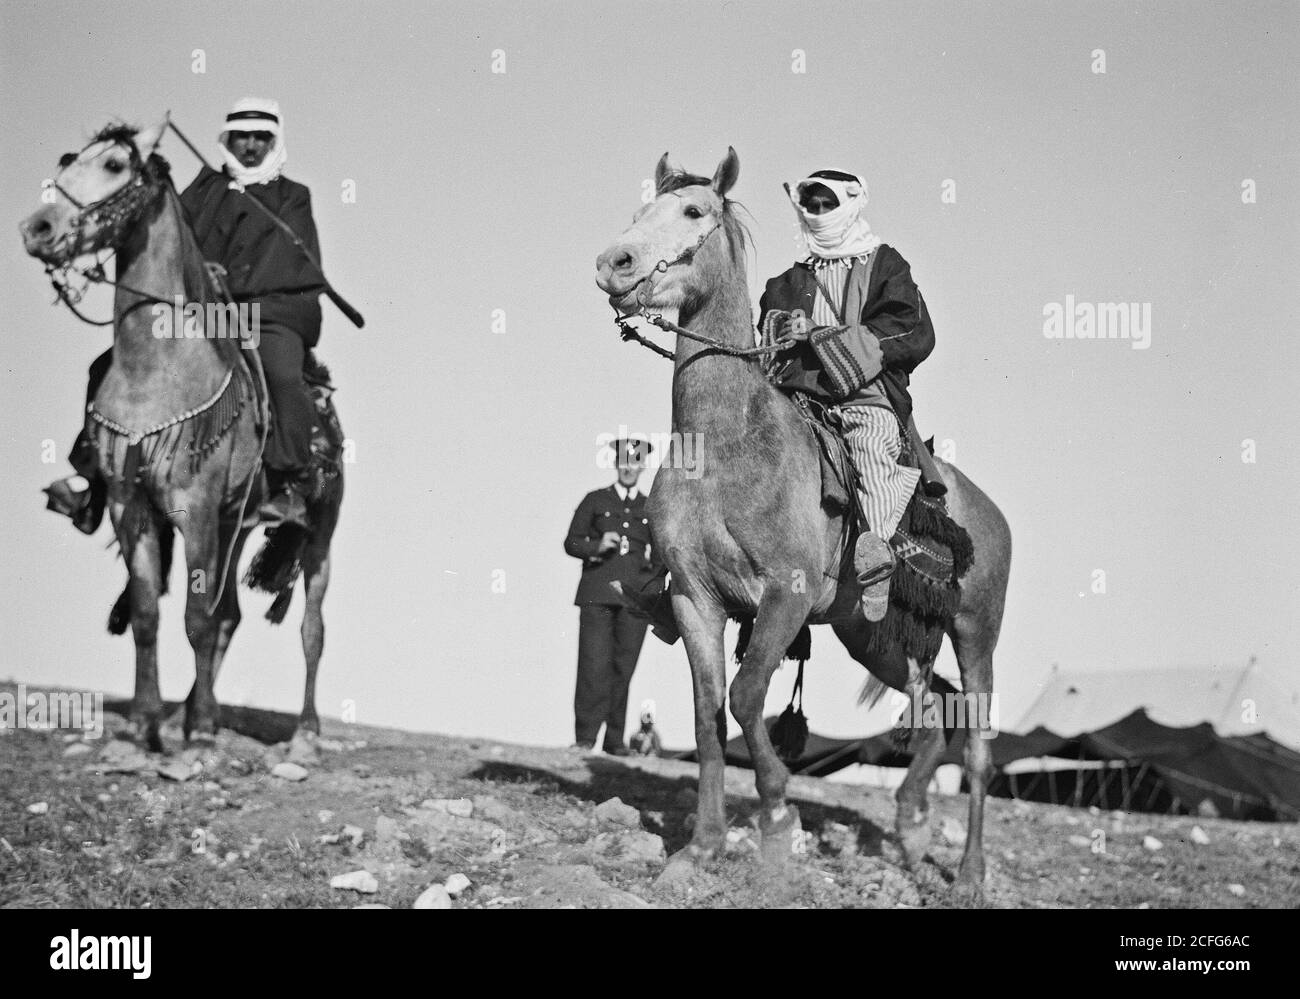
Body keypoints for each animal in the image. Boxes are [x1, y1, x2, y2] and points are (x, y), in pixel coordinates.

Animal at [17, 117, 340, 749]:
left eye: (115, 165)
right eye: (69, 160)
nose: (37, 228)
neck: (157, 371)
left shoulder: (195, 509)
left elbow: (196, 618)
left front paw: (204, 730)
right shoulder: (132, 503)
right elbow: (149, 612)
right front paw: (148, 720)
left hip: (318, 535)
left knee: (311, 628)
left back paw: (306, 730)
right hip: (237, 525)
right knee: (230, 615)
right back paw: (190, 710)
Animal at [598, 150, 1013, 894]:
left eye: (693, 211)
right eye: (643, 208)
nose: (614, 263)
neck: (726, 444)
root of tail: (989, 513)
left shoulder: (784, 597)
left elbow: (746, 695)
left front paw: (776, 818)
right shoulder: (695, 600)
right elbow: (709, 715)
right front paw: (700, 849)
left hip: (975, 634)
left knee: (977, 747)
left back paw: (967, 874)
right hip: (874, 635)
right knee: (931, 714)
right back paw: (910, 828)